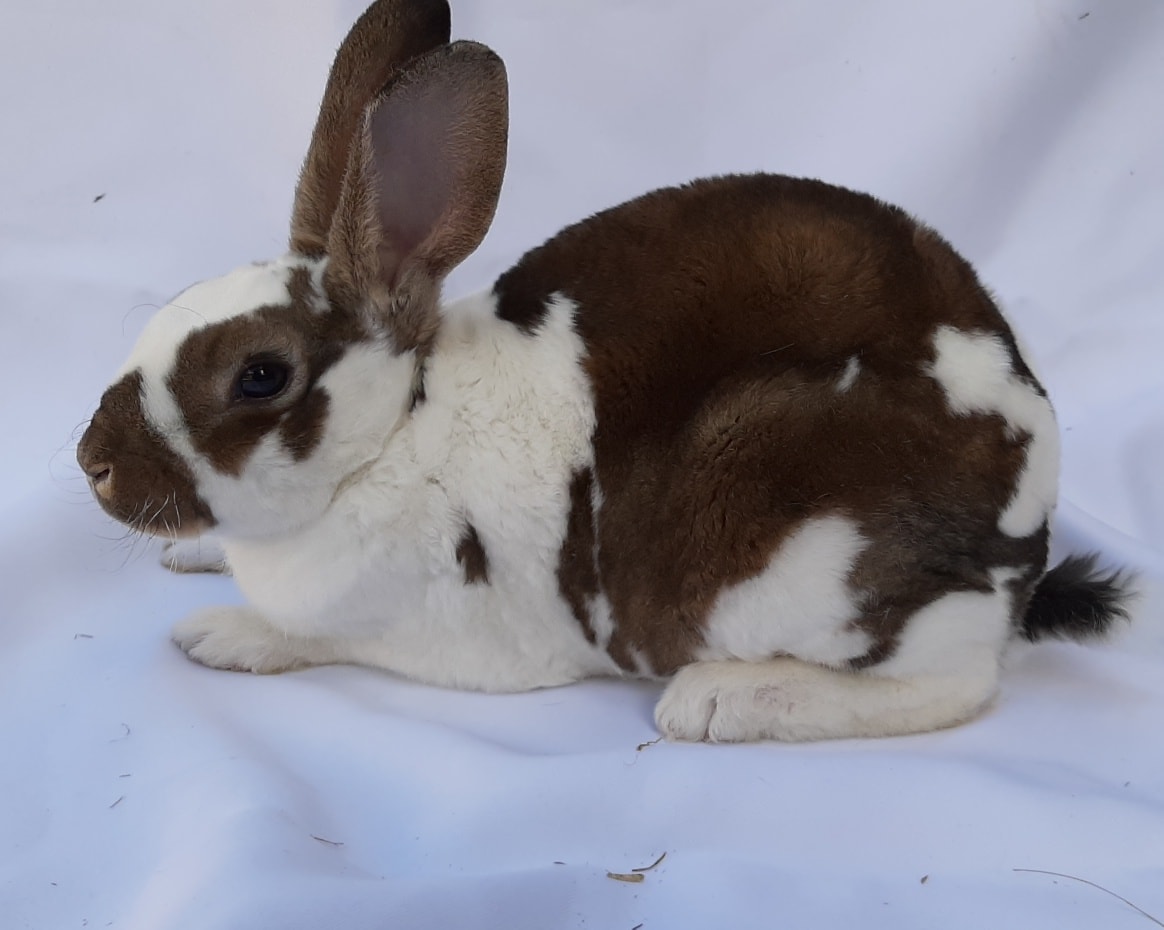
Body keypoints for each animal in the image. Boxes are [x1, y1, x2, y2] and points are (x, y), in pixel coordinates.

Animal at [77, 0, 1132, 742]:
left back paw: (719, 702)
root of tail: (1026, 533)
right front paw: (194, 559)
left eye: (260, 376)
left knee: (955, 685)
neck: (394, 438)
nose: (93, 465)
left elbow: (308, 637)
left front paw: (221, 632)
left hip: (796, 552)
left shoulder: (428, 635)